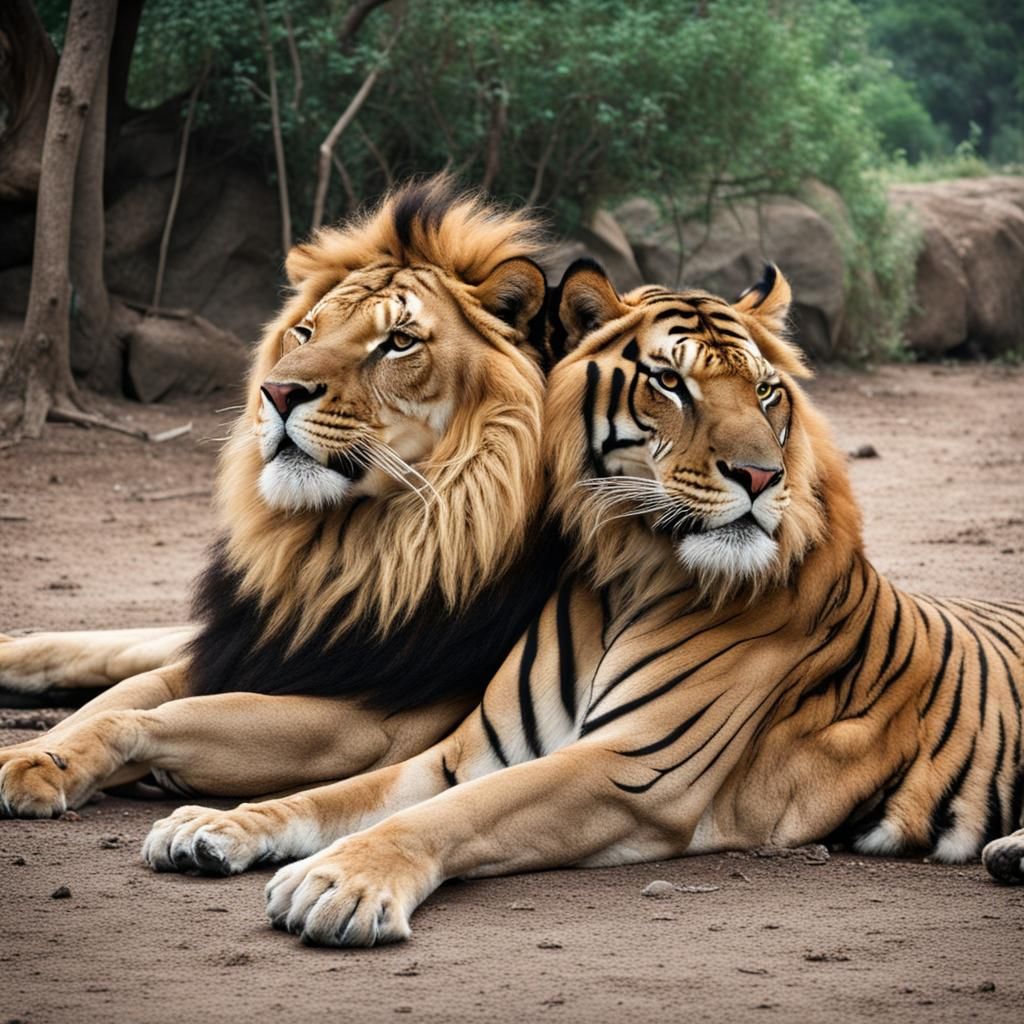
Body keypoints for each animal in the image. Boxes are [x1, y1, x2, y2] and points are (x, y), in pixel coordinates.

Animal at [0, 176, 561, 821]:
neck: (339, 552)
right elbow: (127, 695)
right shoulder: (247, 645)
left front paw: (45, 765)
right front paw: (36, 750)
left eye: (398, 342)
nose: (278, 391)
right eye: (306, 331)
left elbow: (146, 715)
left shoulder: (366, 724)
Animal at [141, 259, 1024, 947]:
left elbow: (446, 816)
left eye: (767, 392)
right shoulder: (470, 752)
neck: (628, 571)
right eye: (671, 382)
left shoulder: (633, 766)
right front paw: (214, 825)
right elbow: (341, 795)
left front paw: (338, 883)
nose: (762, 476)